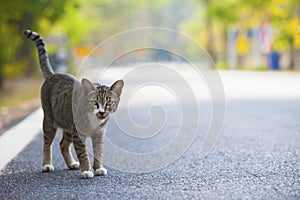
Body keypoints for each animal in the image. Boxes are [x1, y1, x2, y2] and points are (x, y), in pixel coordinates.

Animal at [22, 29, 124, 178]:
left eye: (109, 102)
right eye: (94, 102)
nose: (101, 112)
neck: (94, 120)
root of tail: (53, 75)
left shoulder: (99, 134)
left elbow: (98, 151)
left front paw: (98, 168)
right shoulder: (78, 135)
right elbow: (84, 154)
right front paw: (86, 170)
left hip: (68, 126)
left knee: (63, 144)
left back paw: (71, 164)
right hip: (50, 122)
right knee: (47, 144)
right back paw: (46, 164)